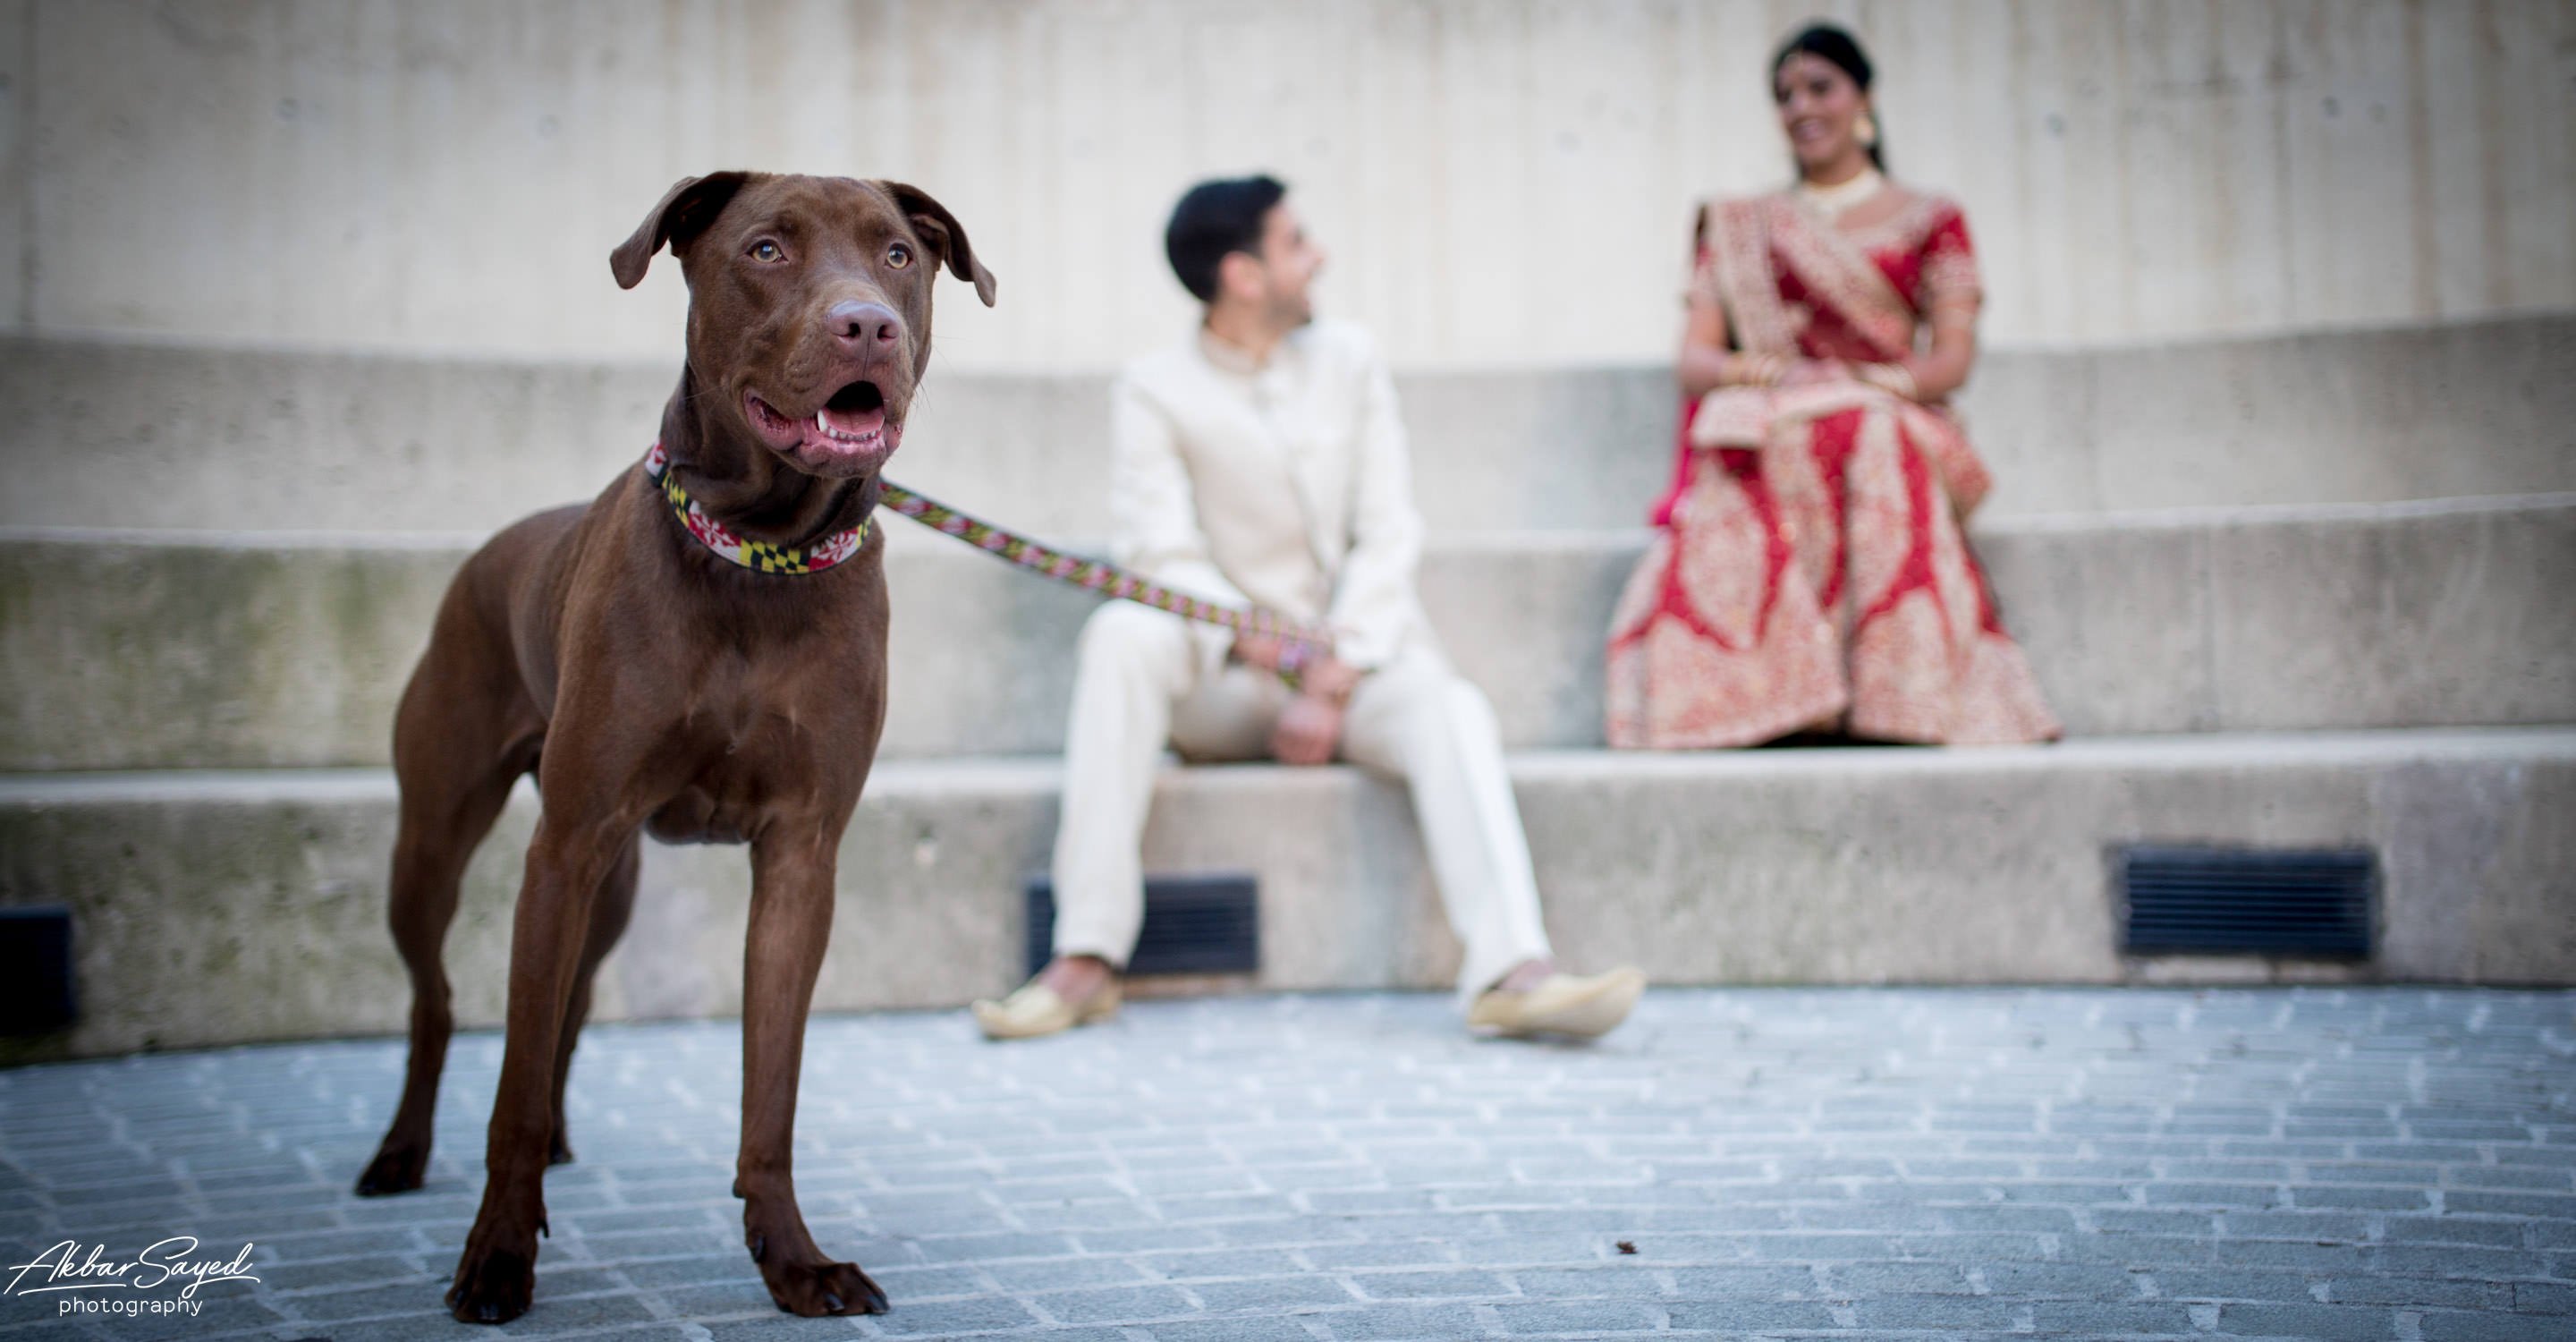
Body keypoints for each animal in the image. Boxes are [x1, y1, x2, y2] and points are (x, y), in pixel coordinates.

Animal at [343, 170, 984, 1319]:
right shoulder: (566, 844)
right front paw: (497, 1257)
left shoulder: (800, 857)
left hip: (612, 885)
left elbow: (770, 1089)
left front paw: (793, 1258)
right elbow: (508, 1081)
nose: (864, 322)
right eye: (767, 249)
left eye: (899, 255)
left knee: (570, 1004)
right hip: (439, 844)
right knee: (441, 1001)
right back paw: (403, 1153)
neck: (760, 551)